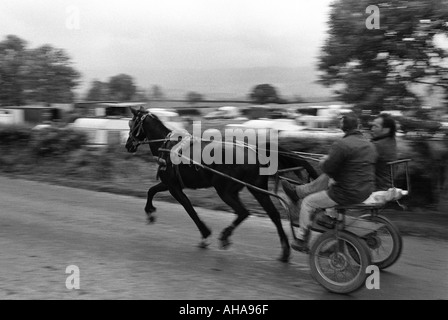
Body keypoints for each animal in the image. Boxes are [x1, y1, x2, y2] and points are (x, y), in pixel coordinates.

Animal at [124, 106, 316, 262]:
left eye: (131, 123)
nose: (128, 145)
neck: (168, 146)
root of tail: (254, 151)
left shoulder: (174, 187)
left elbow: (189, 209)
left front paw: (205, 234)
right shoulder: (170, 184)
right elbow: (151, 191)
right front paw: (150, 211)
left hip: (225, 190)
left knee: (243, 212)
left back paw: (225, 236)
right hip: (256, 189)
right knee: (274, 215)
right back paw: (285, 252)